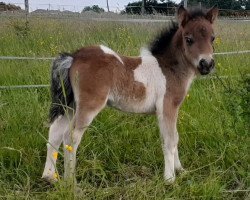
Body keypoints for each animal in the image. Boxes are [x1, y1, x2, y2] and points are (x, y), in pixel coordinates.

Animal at [42, 5, 218, 184]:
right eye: (188, 39)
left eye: (212, 38)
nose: (207, 64)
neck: (168, 68)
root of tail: (73, 57)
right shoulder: (167, 107)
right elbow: (169, 141)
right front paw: (169, 179)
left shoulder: (171, 109)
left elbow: (175, 137)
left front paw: (181, 170)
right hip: (88, 105)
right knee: (70, 138)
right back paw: (71, 183)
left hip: (70, 104)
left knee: (55, 133)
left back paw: (49, 177)